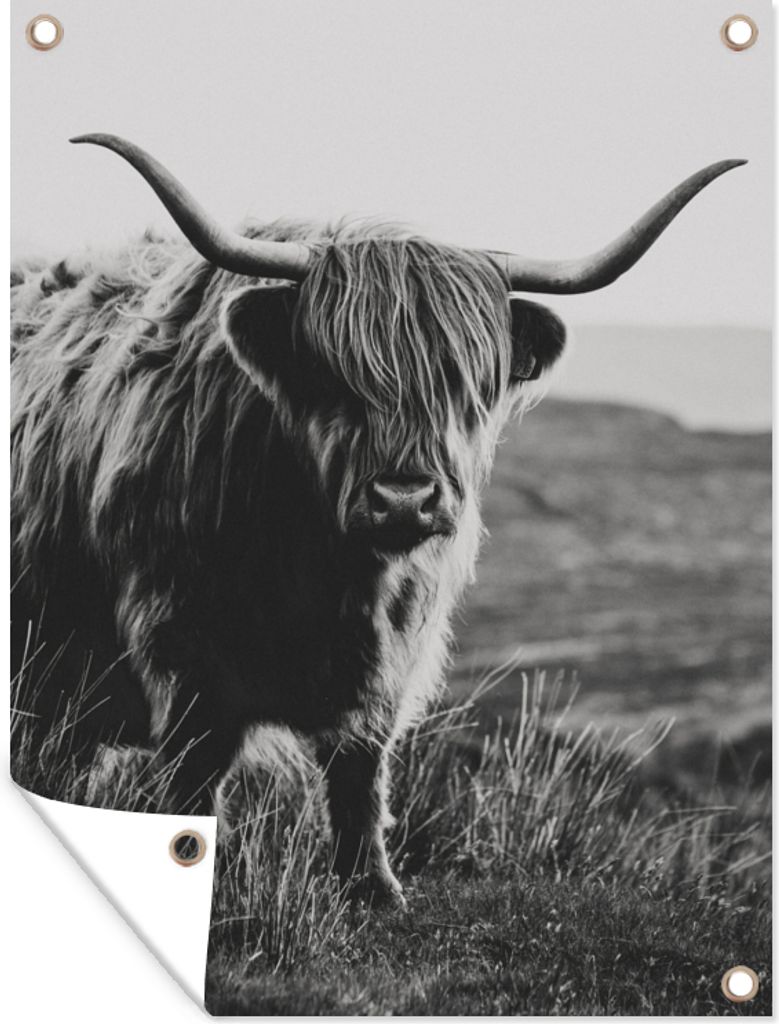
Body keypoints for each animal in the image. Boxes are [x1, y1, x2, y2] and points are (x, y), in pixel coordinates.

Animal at [11, 134, 743, 903]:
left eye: (464, 382)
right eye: (333, 375)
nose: (404, 499)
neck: (326, 571)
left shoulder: (395, 648)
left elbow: (361, 764)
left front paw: (371, 884)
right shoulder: (179, 637)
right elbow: (195, 765)